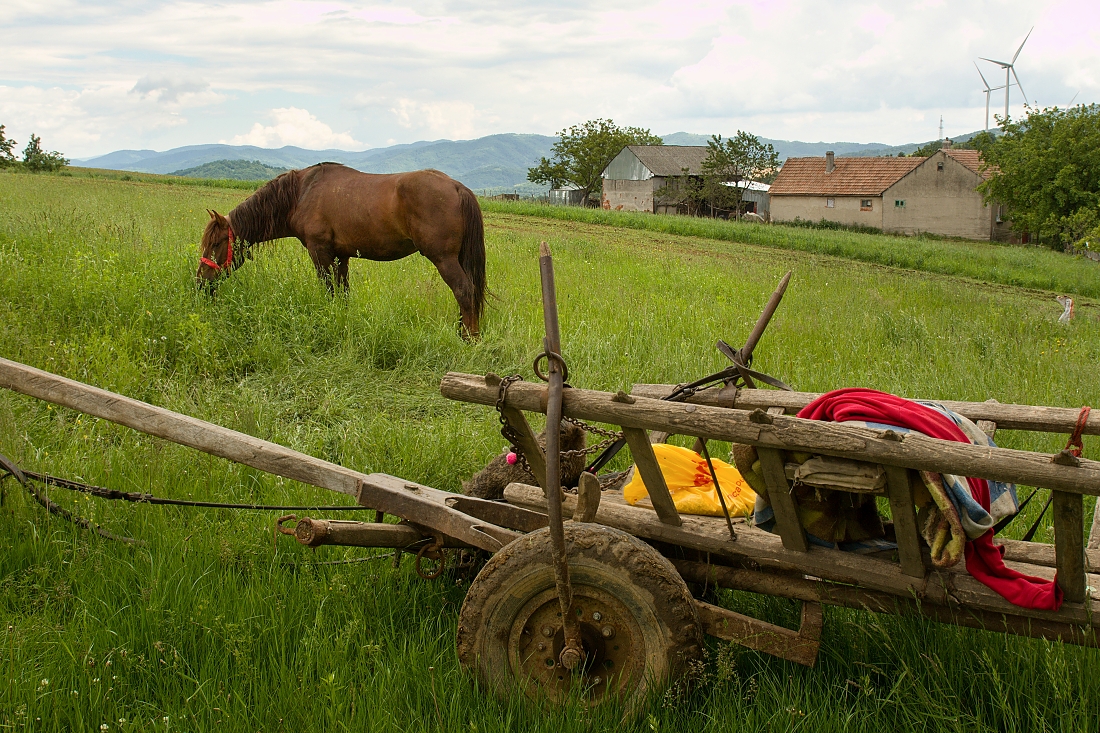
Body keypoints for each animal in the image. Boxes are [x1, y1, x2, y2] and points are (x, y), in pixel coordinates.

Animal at [196, 162, 486, 336]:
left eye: (216, 243)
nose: (200, 282)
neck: (300, 194)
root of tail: (457, 187)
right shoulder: (342, 256)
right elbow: (343, 293)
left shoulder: (320, 252)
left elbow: (328, 290)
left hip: (444, 258)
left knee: (464, 290)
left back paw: (468, 338)